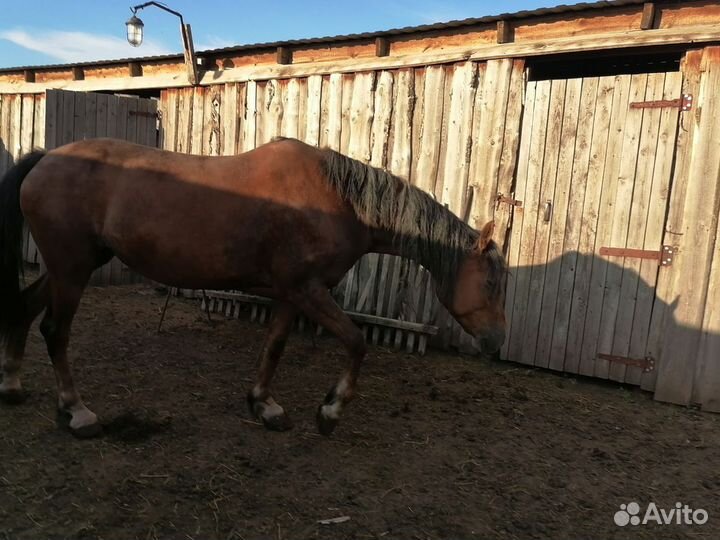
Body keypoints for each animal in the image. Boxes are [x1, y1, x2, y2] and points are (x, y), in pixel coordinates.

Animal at [0, 137, 507, 438]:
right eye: (489, 280)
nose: (496, 341)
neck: (336, 201)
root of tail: (46, 158)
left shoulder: (293, 293)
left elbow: (275, 347)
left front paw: (264, 406)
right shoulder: (310, 291)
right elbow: (357, 342)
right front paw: (330, 411)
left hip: (73, 266)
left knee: (23, 309)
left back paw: (13, 385)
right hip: (72, 269)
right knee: (55, 331)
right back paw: (76, 411)